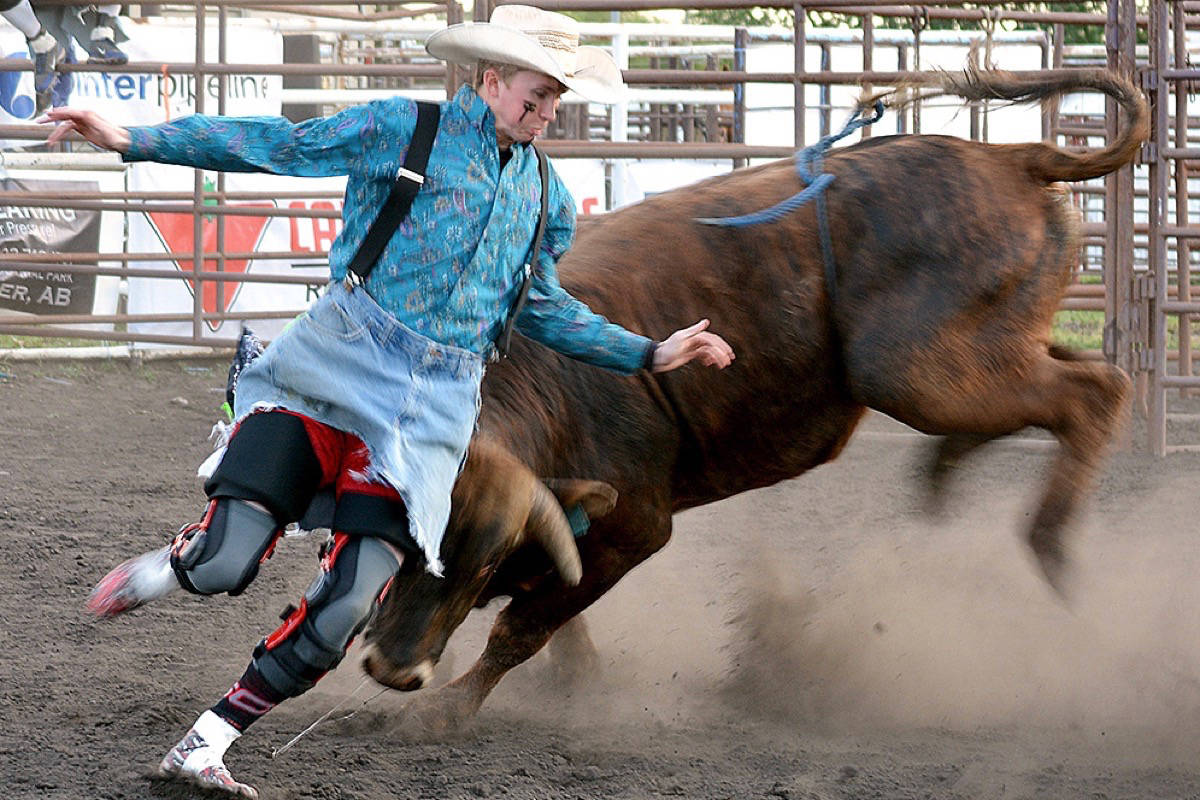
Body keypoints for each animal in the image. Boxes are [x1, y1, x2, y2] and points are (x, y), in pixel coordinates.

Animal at [362, 68, 1142, 729]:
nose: (392, 670)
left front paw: (441, 713)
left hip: (917, 372)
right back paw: (949, 472)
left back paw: (1049, 545)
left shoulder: (636, 527)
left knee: (1095, 391)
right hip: (981, 351)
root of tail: (1013, 157)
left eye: (480, 564)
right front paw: (570, 677)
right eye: (405, 537)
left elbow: (523, 628)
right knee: (1063, 382)